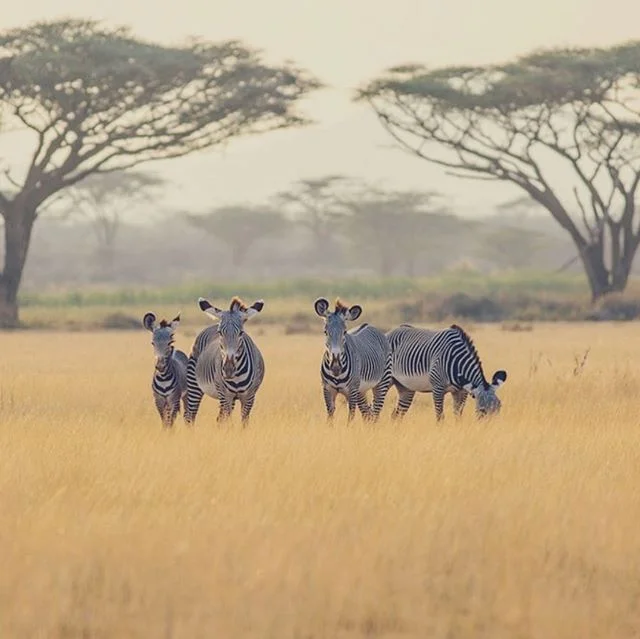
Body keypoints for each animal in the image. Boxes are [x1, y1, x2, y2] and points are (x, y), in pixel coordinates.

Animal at [184, 296, 265, 426]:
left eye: (241, 333)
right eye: (220, 333)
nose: (228, 370)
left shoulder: (249, 397)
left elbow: (244, 423)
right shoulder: (225, 396)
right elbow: (228, 424)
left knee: (218, 418)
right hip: (194, 385)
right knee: (189, 416)